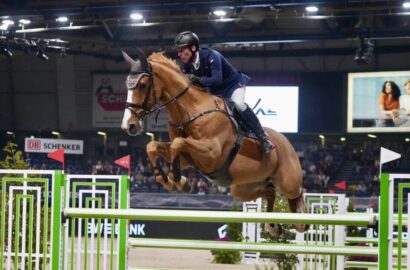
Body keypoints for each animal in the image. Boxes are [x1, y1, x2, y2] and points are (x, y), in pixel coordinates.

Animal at [120, 49, 306, 235]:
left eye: (142, 85)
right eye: (127, 86)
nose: (129, 125)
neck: (190, 110)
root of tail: (287, 143)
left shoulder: (212, 153)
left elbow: (178, 143)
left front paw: (176, 179)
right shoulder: (188, 158)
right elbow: (154, 146)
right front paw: (170, 179)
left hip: (288, 182)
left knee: (297, 194)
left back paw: (300, 221)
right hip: (242, 188)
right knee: (270, 191)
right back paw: (273, 226)